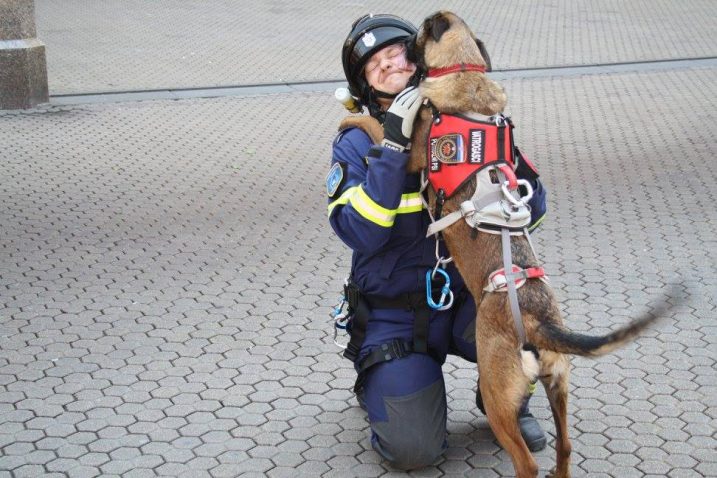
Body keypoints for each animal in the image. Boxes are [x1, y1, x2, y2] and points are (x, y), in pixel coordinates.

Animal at [398, 10, 676, 478]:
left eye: (417, 34)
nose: (401, 48)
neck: (464, 74)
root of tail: (535, 321)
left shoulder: (414, 153)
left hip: (498, 398)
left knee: (526, 464)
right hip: (558, 387)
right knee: (565, 446)